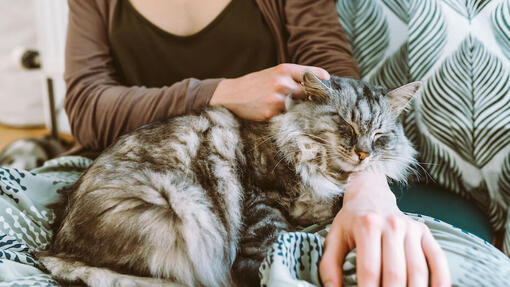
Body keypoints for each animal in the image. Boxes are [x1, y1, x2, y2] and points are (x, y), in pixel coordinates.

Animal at [37, 70, 420, 287]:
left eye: (380, 135)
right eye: (345, 126)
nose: (363, 154)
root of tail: (57, 246)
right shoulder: (260, 201)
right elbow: (270, 247)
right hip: (185, 209)